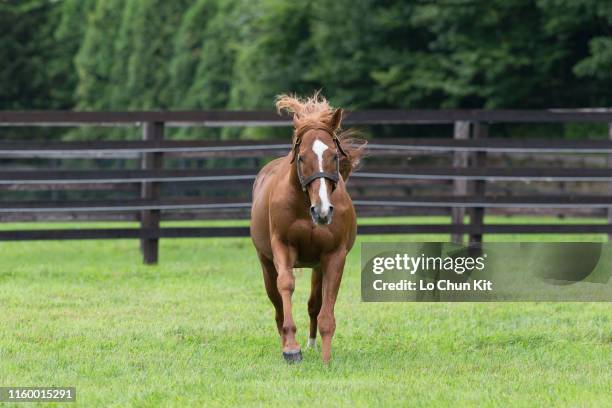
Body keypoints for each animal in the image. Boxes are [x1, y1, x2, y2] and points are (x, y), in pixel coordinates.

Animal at [251, 93, 366, 364]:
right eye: (302, 157)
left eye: (334, 156)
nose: (322, 211)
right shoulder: (282, 247)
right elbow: (286, 285)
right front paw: (291, 348)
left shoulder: (334, 256)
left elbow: (325, 307)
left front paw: (326, 358)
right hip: (265, 262)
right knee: (277, 302)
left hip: (317, 266)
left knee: (314, 304)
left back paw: (312, 344)